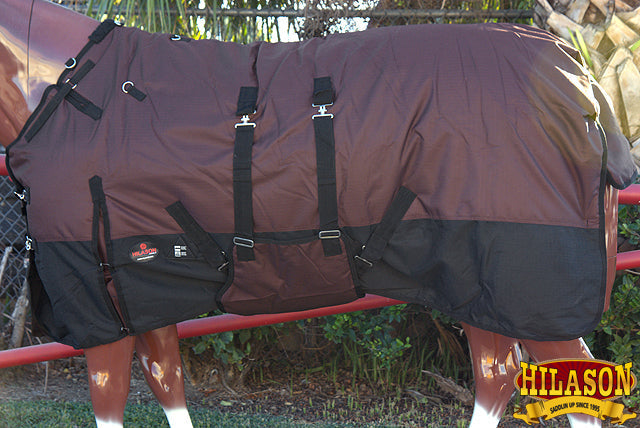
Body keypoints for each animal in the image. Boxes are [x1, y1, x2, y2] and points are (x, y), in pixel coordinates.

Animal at [0, 1, 630, 427]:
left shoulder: (96, 304)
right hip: (478, 283)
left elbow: (110, 398)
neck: (64, 90)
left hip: (530, 287)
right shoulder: (140, 292)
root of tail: (578, 73)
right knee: (497, 376)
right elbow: (166, 385)